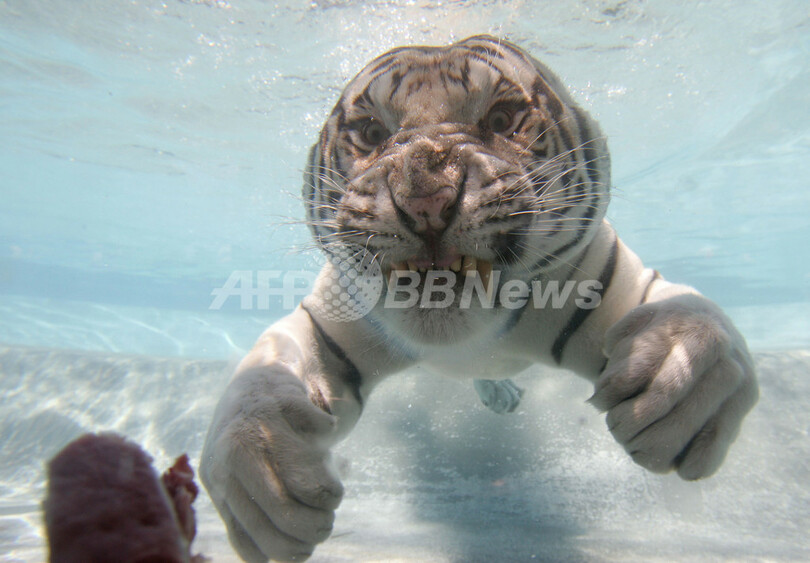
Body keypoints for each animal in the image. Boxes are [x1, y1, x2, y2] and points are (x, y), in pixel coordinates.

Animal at [202, 36, 756, 563]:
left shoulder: (606, 280)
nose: (425, 199)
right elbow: (260, 381)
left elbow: (696, 323)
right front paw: (263, 482)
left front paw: (677, 385)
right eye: (372, 133)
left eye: (502, 119)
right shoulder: (326, 320)